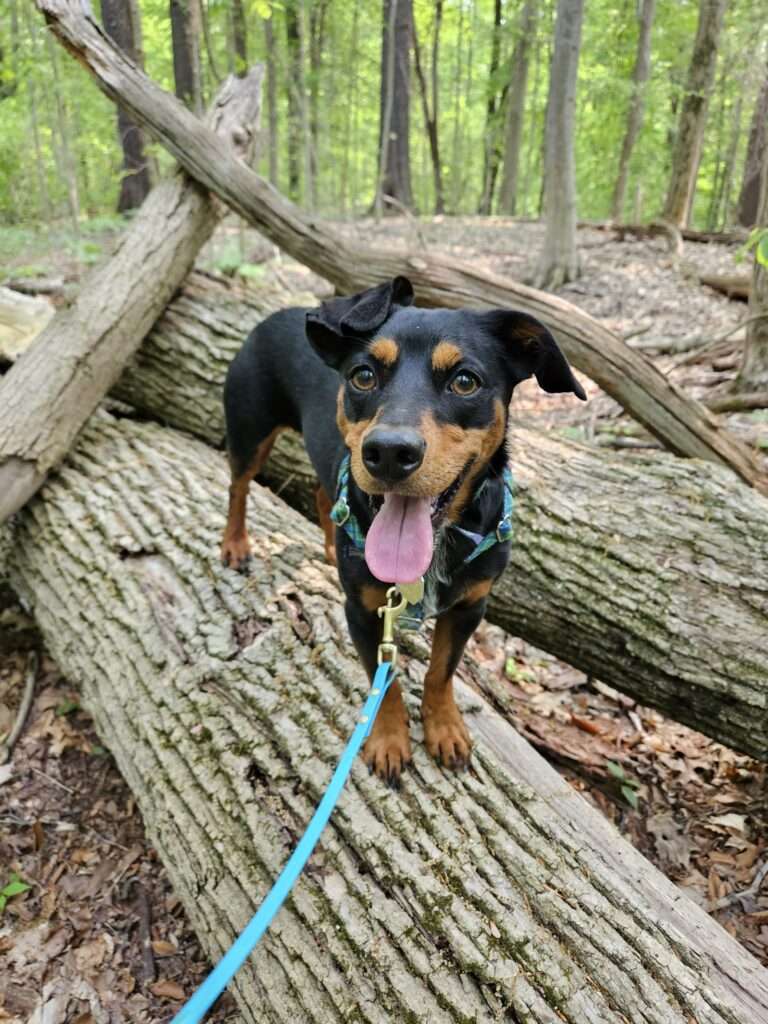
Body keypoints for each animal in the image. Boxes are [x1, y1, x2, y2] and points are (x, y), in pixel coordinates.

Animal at [219, 278, 585, 782]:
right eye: (363, 376)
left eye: (465, 381)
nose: (390, 452)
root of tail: (279, 313)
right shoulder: (364, 611)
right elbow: (385, 683)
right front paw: (389, 741)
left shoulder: (470, 606)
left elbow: (441, 672)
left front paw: (444, 728)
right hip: (250, 428)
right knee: (238, 485)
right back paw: (235, 544)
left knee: (321, 495)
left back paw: (331, 548)